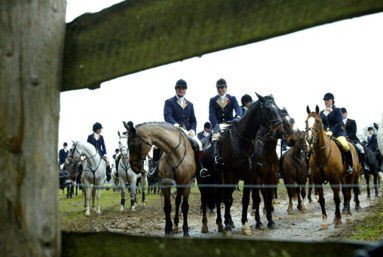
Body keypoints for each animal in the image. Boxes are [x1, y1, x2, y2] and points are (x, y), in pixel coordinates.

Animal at [200, 93, 286, 232]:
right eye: (267, 110)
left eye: (278, 110)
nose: (279, 131)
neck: (242, 142)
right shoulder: (231, 174)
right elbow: (228, 200)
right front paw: (229, 224)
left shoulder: (250, 175)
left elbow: (245, 199)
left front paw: (245, 224)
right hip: (206, 180)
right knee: (207, 199)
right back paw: (207, 225)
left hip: (220, 178)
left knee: (218, 197)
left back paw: (220, 223)